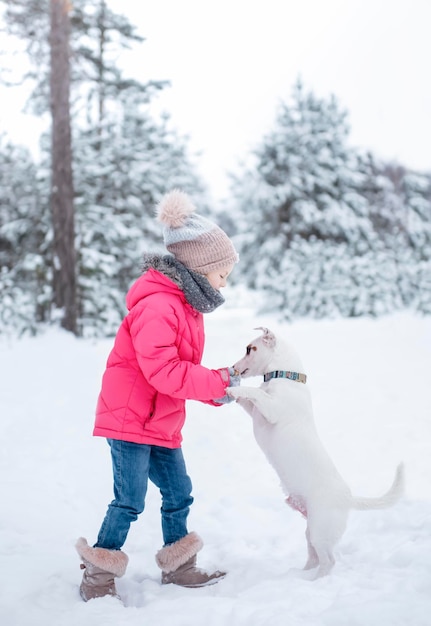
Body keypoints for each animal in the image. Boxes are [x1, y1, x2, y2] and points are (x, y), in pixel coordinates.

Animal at [230, 326, 404, 576]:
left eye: (250, 349)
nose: (233, 367)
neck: (285, 375)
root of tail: (348, 499)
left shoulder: (272, 410)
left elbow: (257, 393)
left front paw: (231, 387)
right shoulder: (255, 410)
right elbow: (250, 398)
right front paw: (231, 390)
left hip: (320, 529)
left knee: (328, 562)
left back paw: (314, 580)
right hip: (311, 530)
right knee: (314, 558)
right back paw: (300, 576)